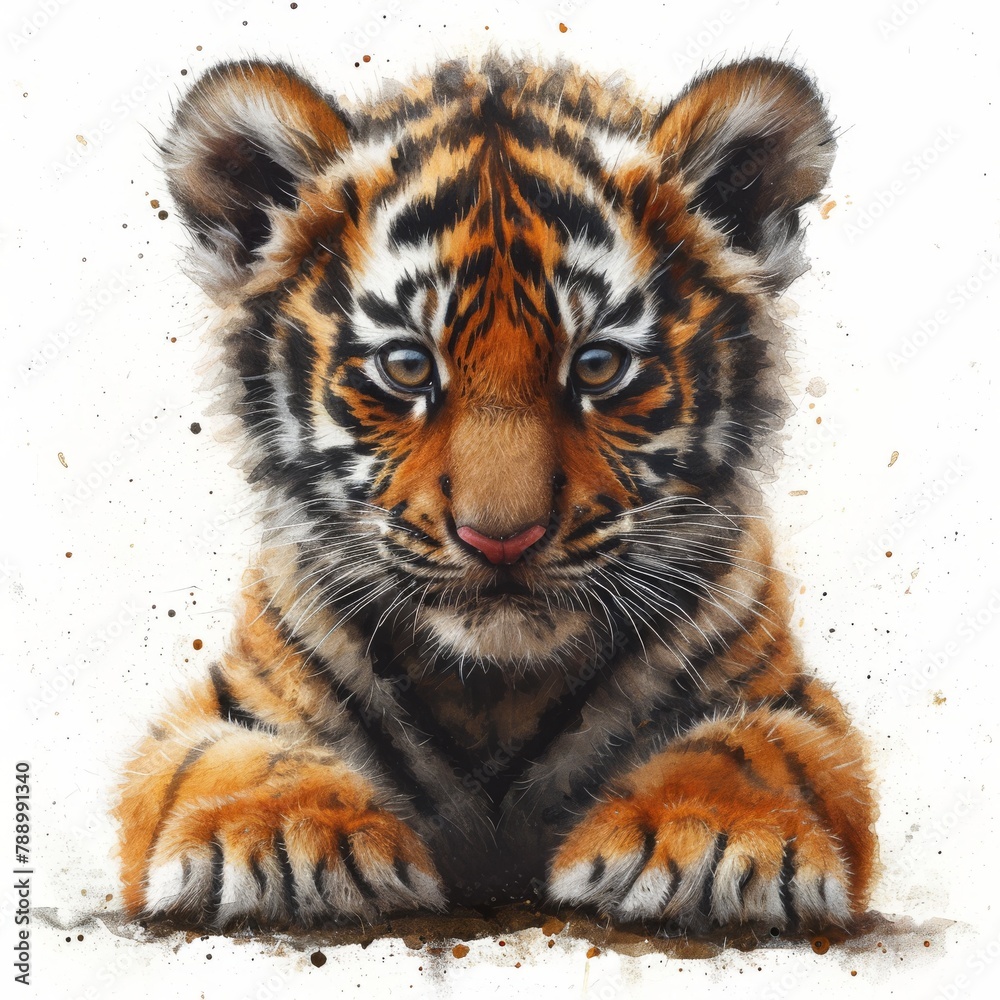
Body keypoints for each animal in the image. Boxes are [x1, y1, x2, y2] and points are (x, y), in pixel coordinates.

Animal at [116, 53, 878, 933]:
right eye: (408, 366)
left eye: (598, 366)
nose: (501, 539)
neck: (495, 693)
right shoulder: (221, 708)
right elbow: (232, 759)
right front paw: (284, 834)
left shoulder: (794, 704)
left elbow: (756, 748)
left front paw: (707, 834)